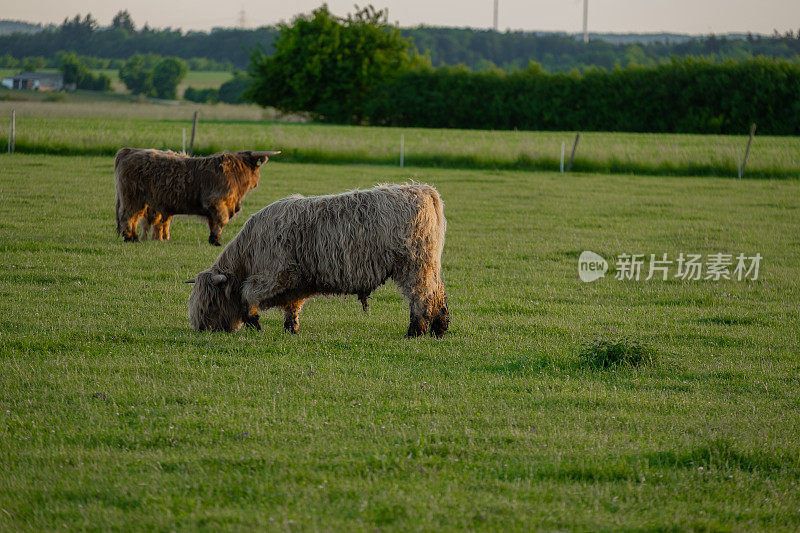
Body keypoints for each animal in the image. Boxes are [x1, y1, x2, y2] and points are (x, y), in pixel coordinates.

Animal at [114, 147, 280, 244]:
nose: (257, 182)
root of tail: (129, 150)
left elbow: (213, 223)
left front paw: (212, 239)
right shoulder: (217, 202)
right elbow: (221, 221)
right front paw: (216, 241)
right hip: (133, 197)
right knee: (129, 216)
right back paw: (131, 238)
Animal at [186, 183, 450, 336]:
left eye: (210, 303)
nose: (202, 329)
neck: (249, 251)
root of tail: (422, 190)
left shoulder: (277, 274)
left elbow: (248, 293)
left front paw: (254, 321)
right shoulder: (296, 281)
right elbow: (292, 306)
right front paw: (290, 328)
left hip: (414, 265)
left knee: (421, 296)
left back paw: (415, 331)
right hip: (428, 265)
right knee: (439, 292)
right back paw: (440, 327)